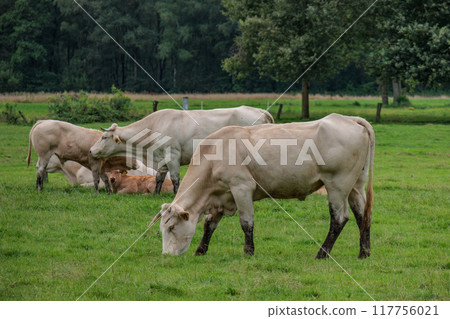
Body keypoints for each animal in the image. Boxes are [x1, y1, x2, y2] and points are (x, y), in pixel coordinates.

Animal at [89, 106, 272, 194]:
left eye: (104, 137)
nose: (91, 150)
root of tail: (259, 110)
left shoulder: (172, 155)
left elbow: (176, 178)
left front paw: (175, 193)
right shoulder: (162, 158)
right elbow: (159, 177)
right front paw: (156, 194)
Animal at [149, 115, 374, 260]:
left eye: (171, 227)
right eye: (162, 229)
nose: (166, 255)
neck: (213, 154)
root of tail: (348, 119)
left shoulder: (241, 188)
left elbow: (246, 223)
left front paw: (249, 252)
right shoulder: (220, 197)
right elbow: (209, 224)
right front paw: (200, 250)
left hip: (337, 185)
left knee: (339, 219)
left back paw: (322, 253)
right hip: (356, 186)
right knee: (362, 216)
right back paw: (364, 253)